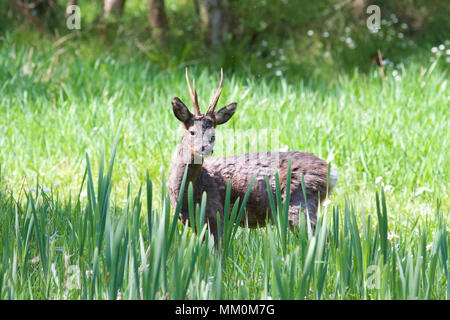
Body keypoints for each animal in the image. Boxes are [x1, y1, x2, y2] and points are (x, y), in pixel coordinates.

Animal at [169, 69, 338, 246]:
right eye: (192, 131)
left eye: (213, 135)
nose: (205, 148)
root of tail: (331, 173)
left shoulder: (215, 211)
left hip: (299, 201)